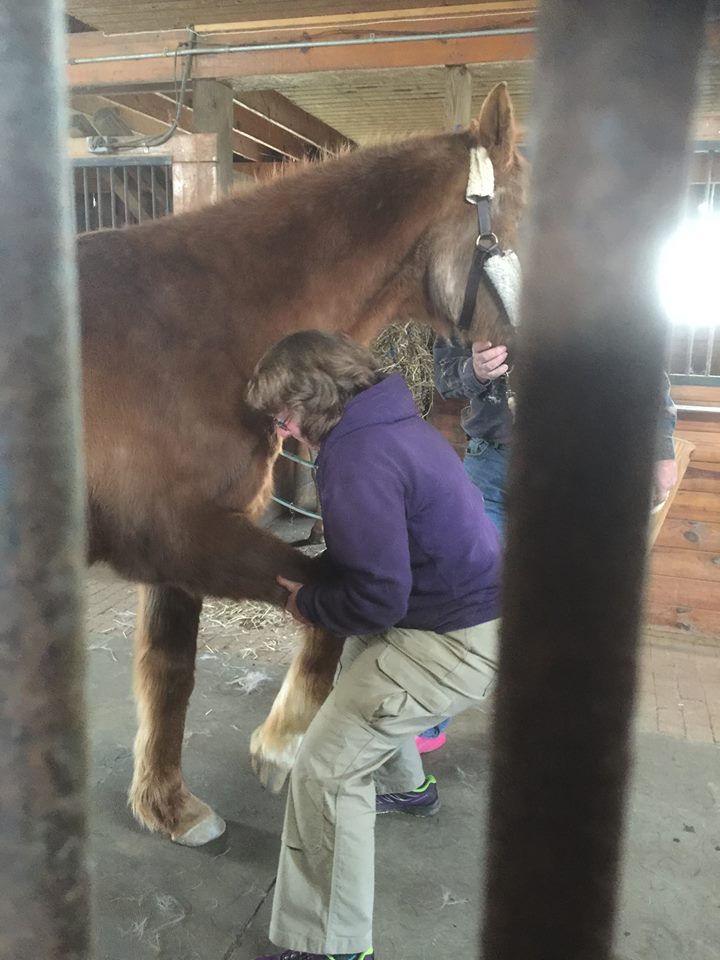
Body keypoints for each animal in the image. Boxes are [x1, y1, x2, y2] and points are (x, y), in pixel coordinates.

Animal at [77, 82, 528, 848]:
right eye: (531, 218)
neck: (184, 328)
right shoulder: (183, 535)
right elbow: (322, 601)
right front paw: (281, 744)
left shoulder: (176, 554)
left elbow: (170, 673)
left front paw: (167, 805)